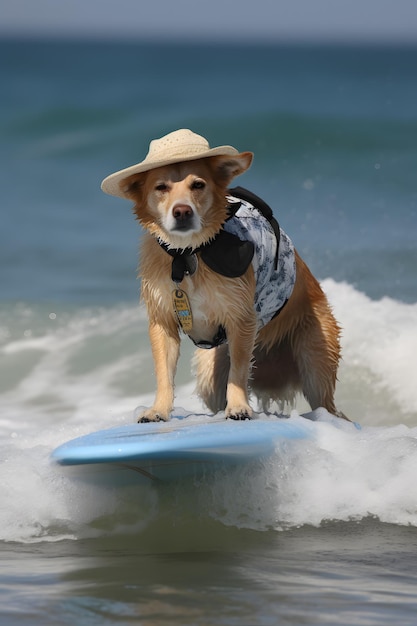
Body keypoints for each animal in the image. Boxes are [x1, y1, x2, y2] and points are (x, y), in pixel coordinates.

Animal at [100, 130, 344, 424]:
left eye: (198, 185)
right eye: (161, 188)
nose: (182, 211)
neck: (190, 254)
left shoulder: (241, 319)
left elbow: (238, 373)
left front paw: (239, 407)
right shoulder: (163, 321)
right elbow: (164, 373)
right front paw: (158, 410)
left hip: (315, 360)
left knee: (328, 405)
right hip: (209, 371)